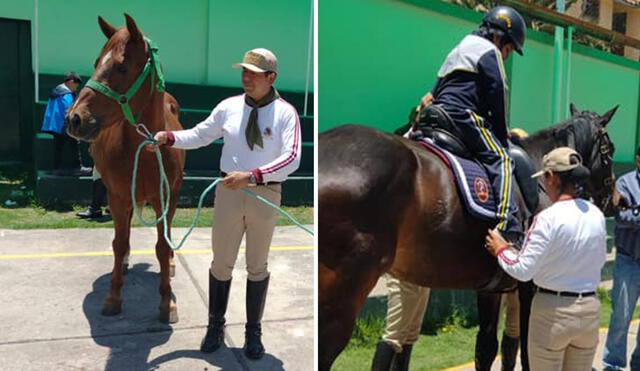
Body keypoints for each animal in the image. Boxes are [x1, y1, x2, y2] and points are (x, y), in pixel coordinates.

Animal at [65, 13, 185, 322]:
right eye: (96, 62)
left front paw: (167, 303)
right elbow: (118, 244)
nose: (74, 118)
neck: (143, 150)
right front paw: (113, 297)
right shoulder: (117, 196)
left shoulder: (164, 198)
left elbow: (162, 245)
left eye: (121, 66)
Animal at [320, 103, 620, 370]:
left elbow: (486, 349)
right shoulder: (532, 286)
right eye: (610, 150)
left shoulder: (491, 288)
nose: (616, 200)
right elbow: (528, 353)